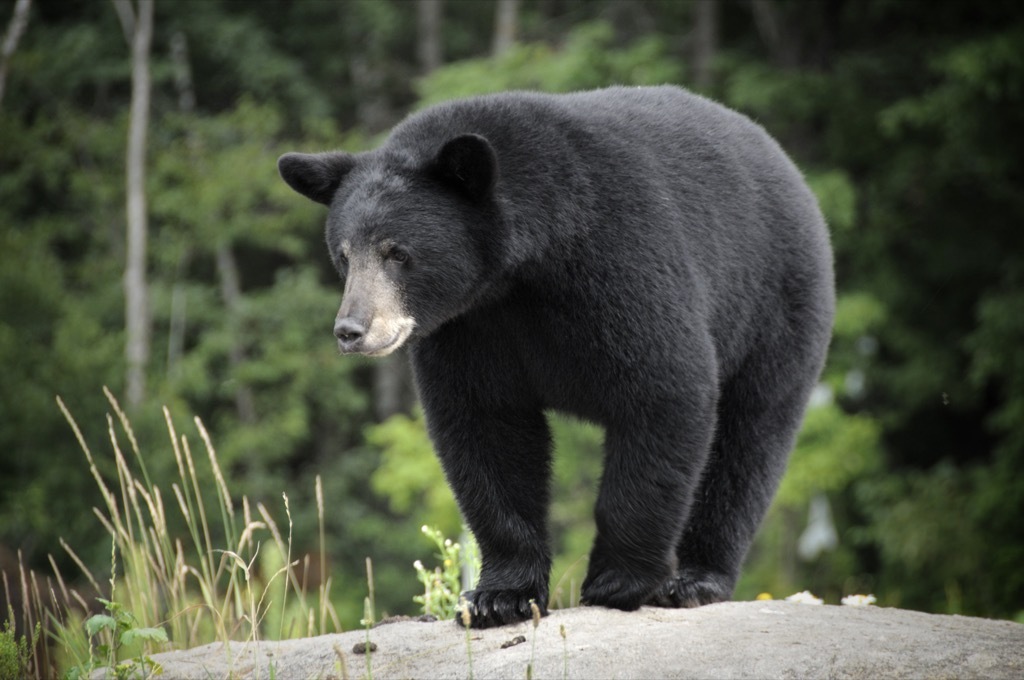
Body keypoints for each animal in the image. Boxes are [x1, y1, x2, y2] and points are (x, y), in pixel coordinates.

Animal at [277, 85, 835, 628]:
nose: (351, 330)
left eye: (397, 252)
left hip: (775, 307)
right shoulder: (470, 328)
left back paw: (697, 579)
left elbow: (665, 390)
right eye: (344, 255)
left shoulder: (620, 259)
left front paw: (618, 581)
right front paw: (499, 596)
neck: (522, 270)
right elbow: (485, 429)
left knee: (748, 442)